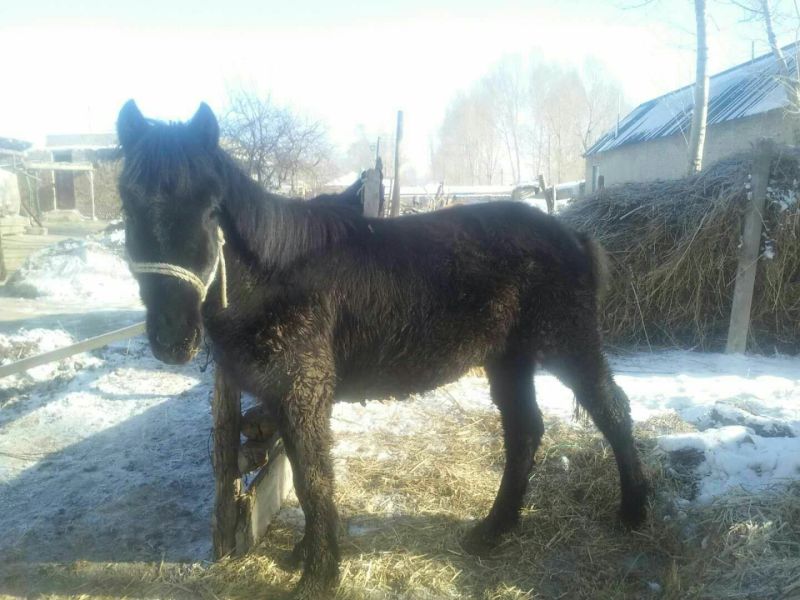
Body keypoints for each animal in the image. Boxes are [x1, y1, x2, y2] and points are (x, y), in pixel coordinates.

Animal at [116, 100, 648, 599]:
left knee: (611, 410)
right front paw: (307, 553)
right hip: (508, 359)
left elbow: (314, 481)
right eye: (127, 203)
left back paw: (634, 509)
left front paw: (319, 575)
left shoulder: (303, 395)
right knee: (525, 432)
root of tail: (572, 235)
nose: (173, 337)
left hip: (568, 346)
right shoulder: (284, 399)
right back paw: (493, 529)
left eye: (211, 207)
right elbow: (307, 474)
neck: (275, 278)